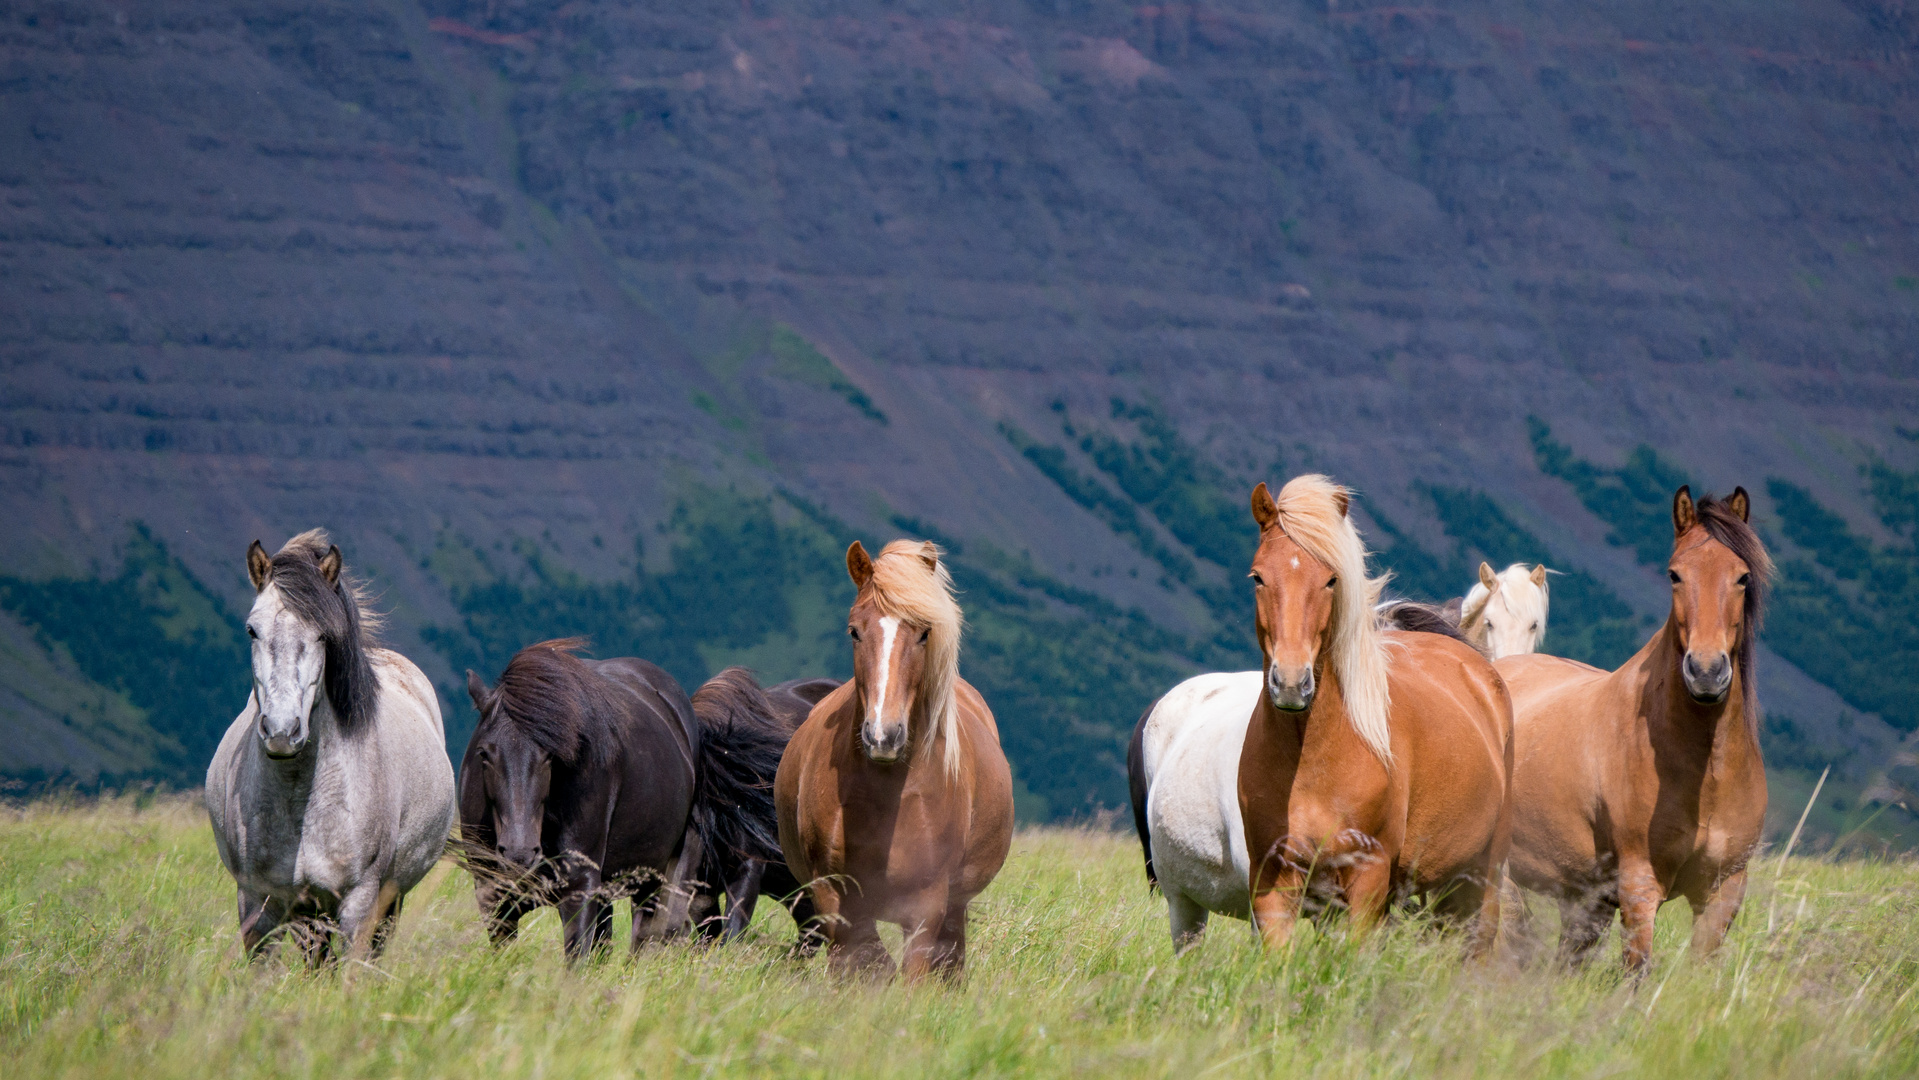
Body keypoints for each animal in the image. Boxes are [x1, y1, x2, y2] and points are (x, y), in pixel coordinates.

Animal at [204, 533, 454, 962]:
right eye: (252, 630)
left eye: (323, 635)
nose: (282, 731)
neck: (300, 799)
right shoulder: (257, 904)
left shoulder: (359, 903)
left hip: (387, 900)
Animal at [767, 540, 1013, 982]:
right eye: (854, 630)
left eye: (924, 633)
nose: (884, 735)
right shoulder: (834, 895)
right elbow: (861, 965)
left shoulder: (926, 906)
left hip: (954, 907)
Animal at [1235, 477, 1519, 951]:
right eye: (1257, 576)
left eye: (1331, 580)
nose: (1291, 682)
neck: (1309, 761)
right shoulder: (1274, 883)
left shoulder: (1367, 880)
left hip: (1480, 879)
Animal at [1496, 487, 1765, 970]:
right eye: (1675, 575)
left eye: (1742, 577)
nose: (1707, 671)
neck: (1707, 773)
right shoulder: (1640, 886)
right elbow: (1636, 970)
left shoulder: (1723, 892)